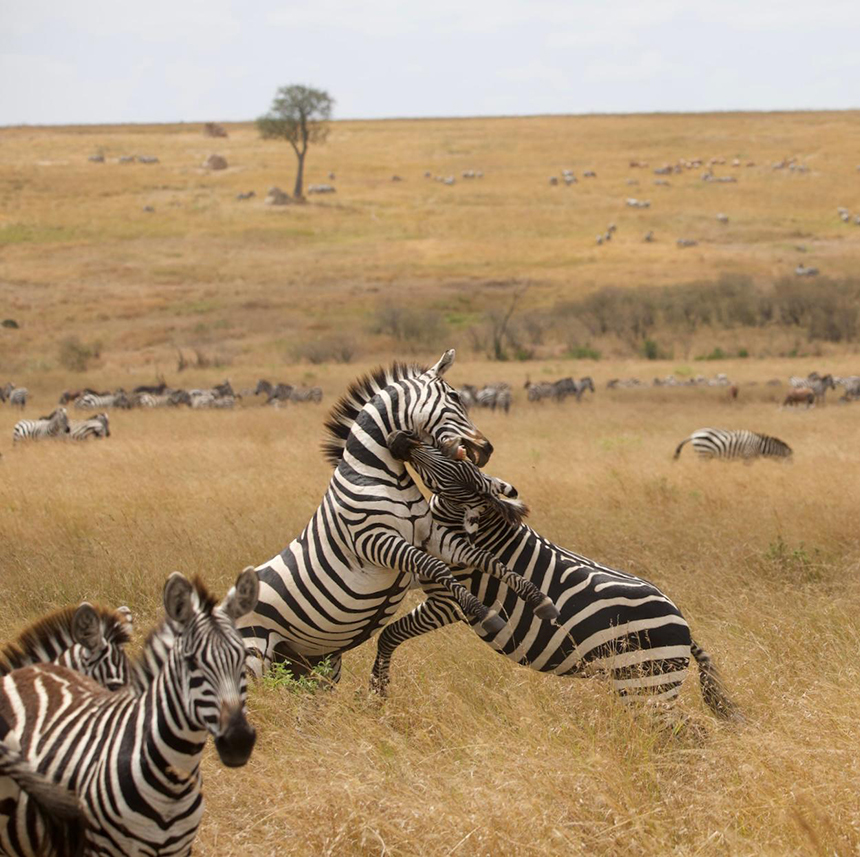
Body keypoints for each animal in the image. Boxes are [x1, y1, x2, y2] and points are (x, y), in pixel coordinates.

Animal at [237, 351, 546, 684]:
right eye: (455, 397)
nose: (486, 449)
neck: (379, 475)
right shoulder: (374, 540)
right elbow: (437, 567)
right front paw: (485, 613)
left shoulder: (430, 535)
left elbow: (484, 559)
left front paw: (538, 598)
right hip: (255, 655)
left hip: (311, 662)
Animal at [371, 436, 737, 719]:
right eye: (448, 451)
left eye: (444, 479)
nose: (400, 438)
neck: (481, 530)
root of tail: (685, 630)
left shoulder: (447, 602)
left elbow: (391, 633)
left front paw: (378, 691)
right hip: (643, 686)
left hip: (645, 686)